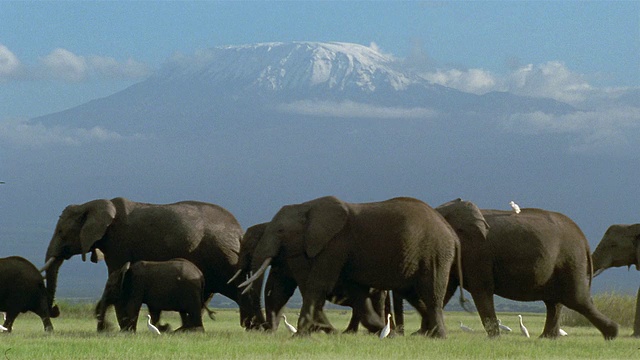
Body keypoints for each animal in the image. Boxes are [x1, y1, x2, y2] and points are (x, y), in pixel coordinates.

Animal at [38, 197, 255, 330]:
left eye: (61, 232)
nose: (55, 309)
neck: (91, 204)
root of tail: (239, 230)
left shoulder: (118, 242)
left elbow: (117, 277)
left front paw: (124, 330)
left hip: (223, 254)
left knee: (239, 289)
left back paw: (254, 328)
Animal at [438, 198, 616, 338]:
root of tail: (584, 239)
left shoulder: (477, 252)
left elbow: (480, 288)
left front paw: (494, 339)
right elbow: (446, 288)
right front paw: (432, 335)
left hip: (571, 259)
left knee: (577, 299)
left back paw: (612, 334)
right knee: (555, 302)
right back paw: (546, 338)